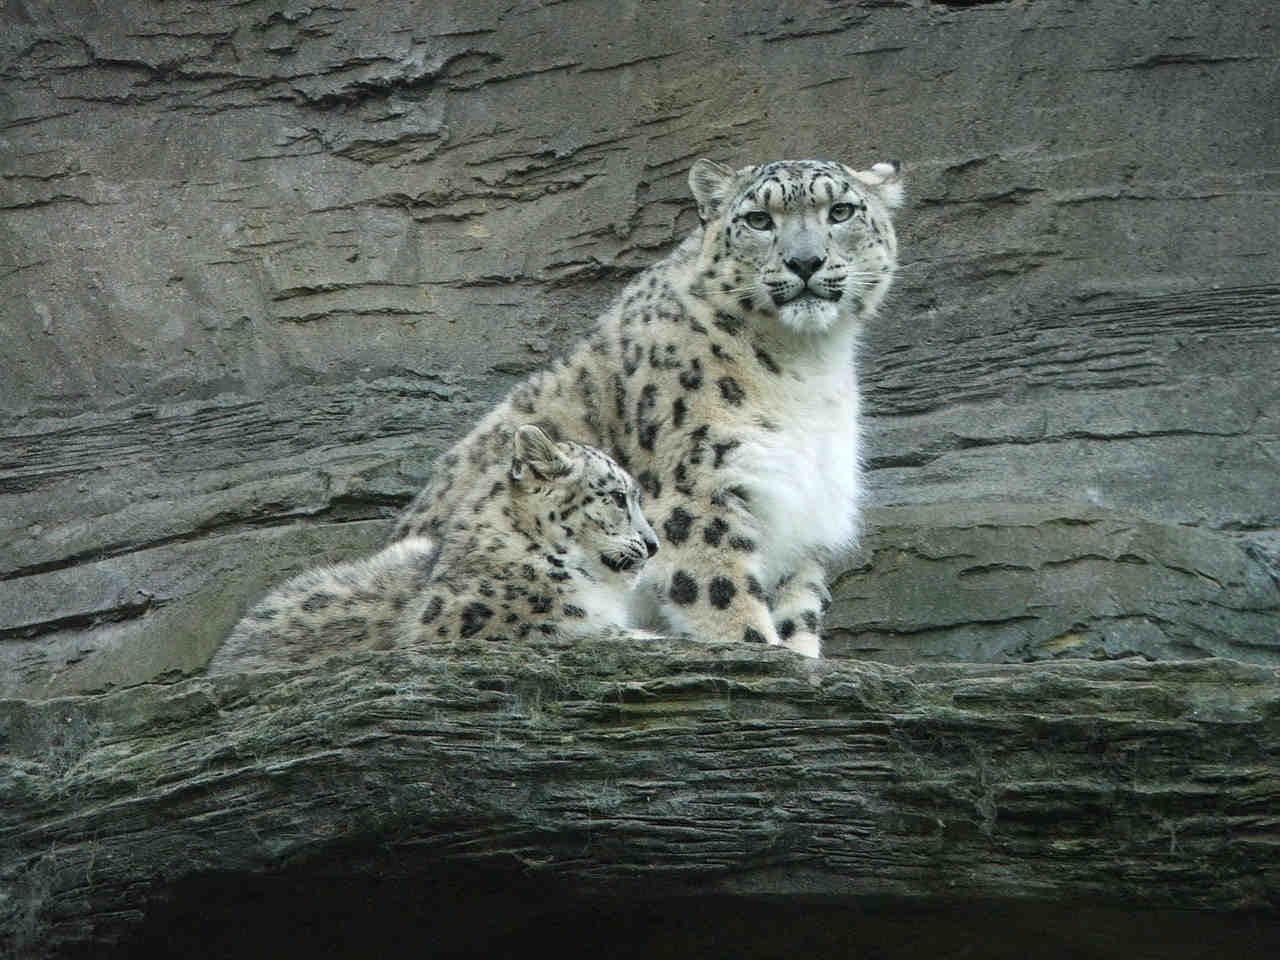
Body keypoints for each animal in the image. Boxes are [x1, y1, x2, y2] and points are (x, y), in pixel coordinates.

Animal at [392, 157, 904, 658]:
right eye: (759, 219)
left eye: (841, 211)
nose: (805, 261)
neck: (806, 365)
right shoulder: (697, 491)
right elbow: (724, 594)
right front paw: (757, 648)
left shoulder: (804, 508)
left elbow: (798, 609)